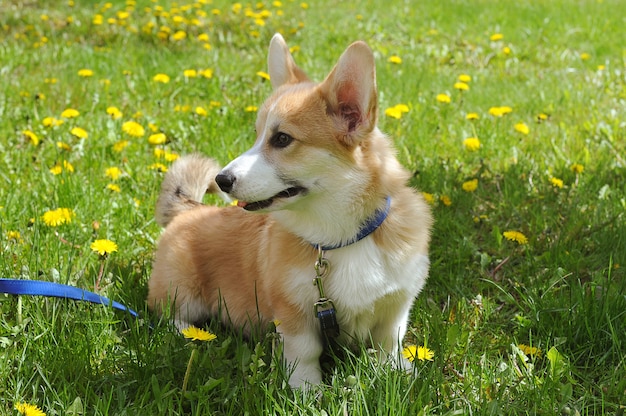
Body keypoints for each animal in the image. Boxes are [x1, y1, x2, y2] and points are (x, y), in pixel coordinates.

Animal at [147, 34, 432, 388]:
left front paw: (397, 372)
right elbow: (305, 353)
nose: (221, 180)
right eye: (257, 135)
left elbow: (388, 342)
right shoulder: (293, 311)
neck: (342, 236)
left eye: (282, 139)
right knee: (165, 315)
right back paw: (191, 333)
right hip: (181, 289)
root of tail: (190, 208)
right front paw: (307, 391)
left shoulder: (396, 303)